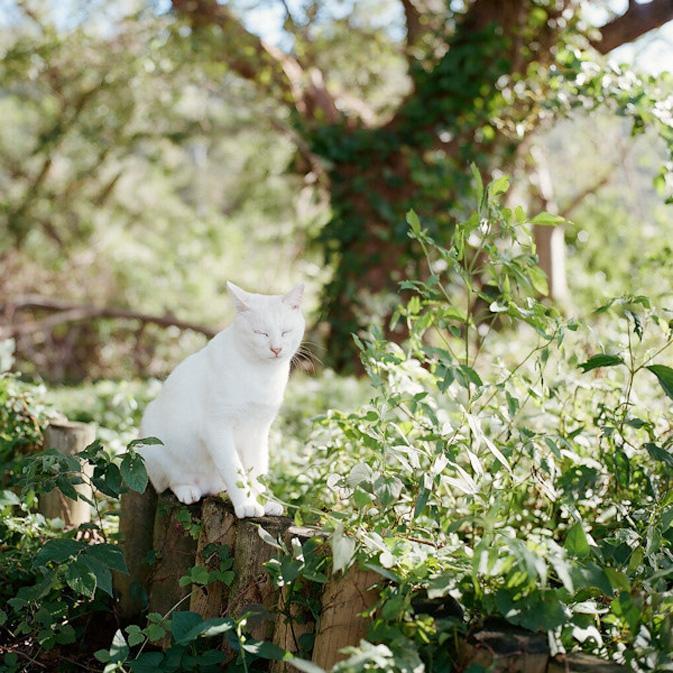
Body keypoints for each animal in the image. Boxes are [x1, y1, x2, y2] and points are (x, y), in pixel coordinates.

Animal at [138, 280, 306, 516]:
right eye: (261, 333)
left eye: (285, 332)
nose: (276, 348)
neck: (262, 373)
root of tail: (206, 488)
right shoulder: (217, 427)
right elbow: (234, 471)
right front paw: (246, 504)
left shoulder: (259, 430)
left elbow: (258, 470)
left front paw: (263, 502)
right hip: (151, 444)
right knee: (169, 483)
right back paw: (188, 490)